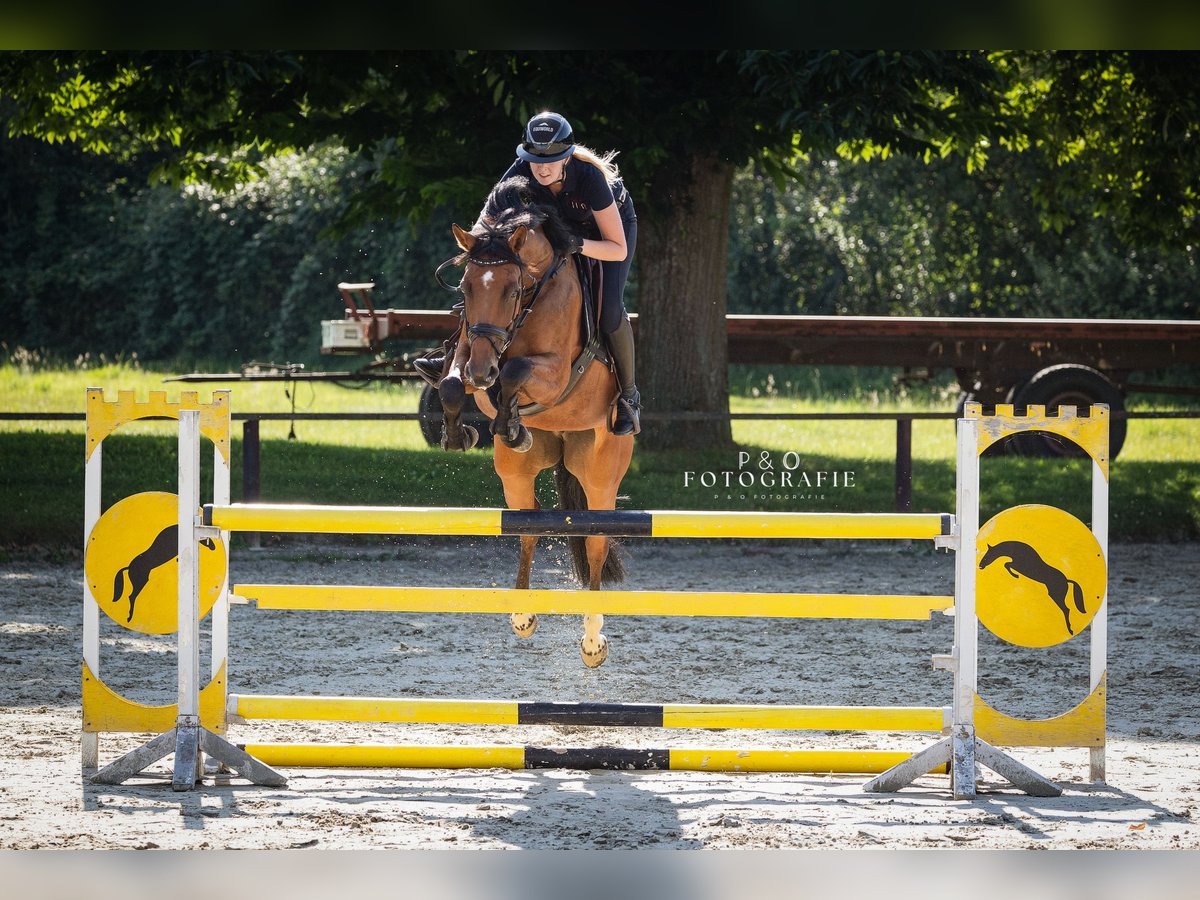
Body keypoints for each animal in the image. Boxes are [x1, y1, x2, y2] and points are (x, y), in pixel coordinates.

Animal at [434, 176, 638, 672]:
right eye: (466, 289)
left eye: (512, 290)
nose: (481, 373)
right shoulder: (467, 351)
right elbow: (451, 384)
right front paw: (461, 432)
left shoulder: (554, 373)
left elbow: (516, 370)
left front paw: (506, 416)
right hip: (516, 473)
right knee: (526, 525)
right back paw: (522, 616)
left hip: (600, 473)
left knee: (595, 544)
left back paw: (592, 641)